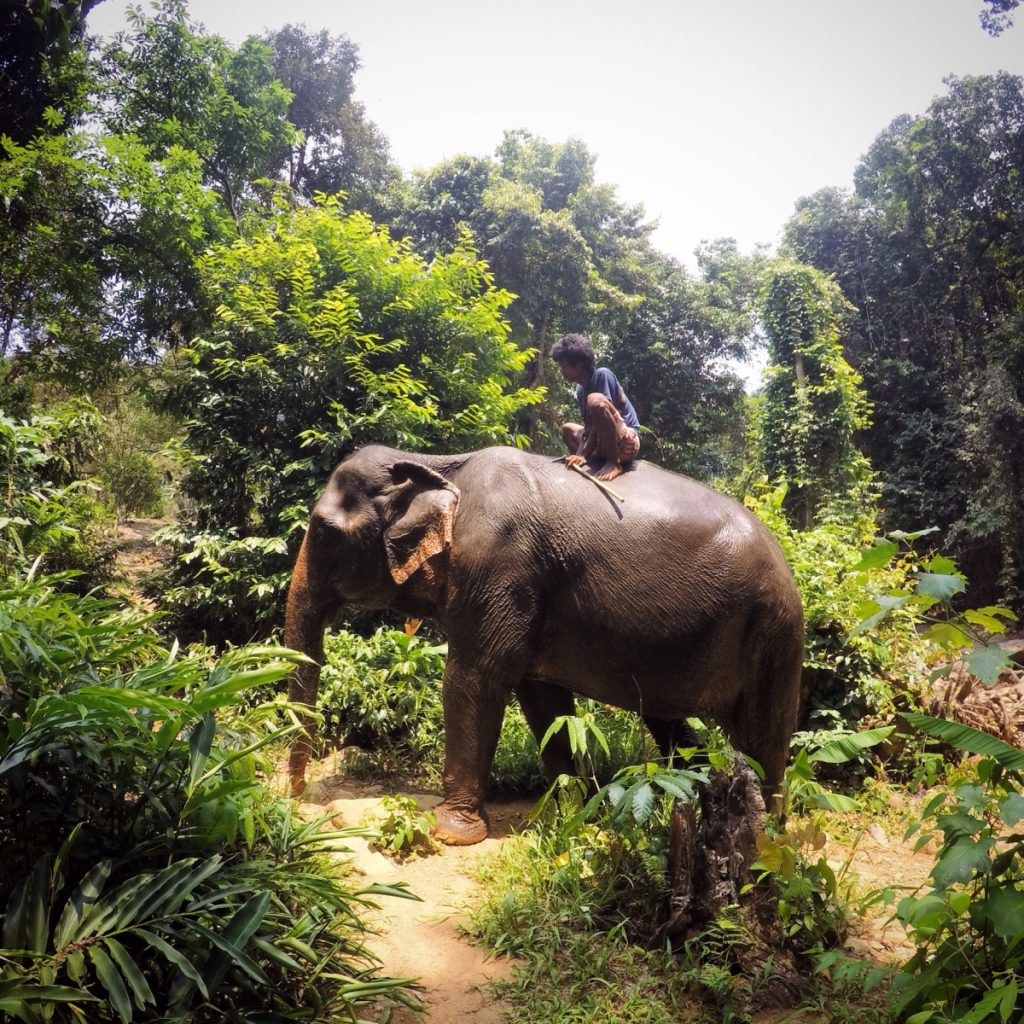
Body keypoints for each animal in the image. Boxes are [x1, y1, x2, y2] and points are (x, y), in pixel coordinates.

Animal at [284, 444, 802, 843]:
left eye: (325, 531)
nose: (299, 799)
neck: (439, 464)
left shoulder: (500, 567)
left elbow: (474, 680)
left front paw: (451, 832)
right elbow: (542, 700)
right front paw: (578, 811)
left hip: (773, 632)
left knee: (761, 737)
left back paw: (767, 834)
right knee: (672, 725)